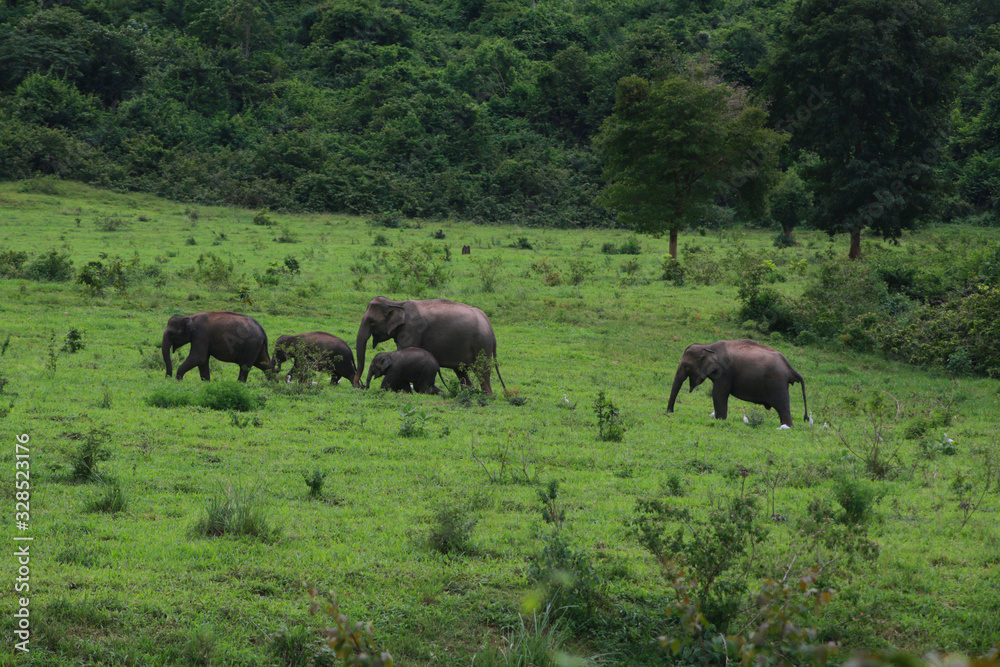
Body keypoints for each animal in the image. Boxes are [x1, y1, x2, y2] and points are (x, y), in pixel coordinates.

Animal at [354, 296, 508, 394]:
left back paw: (487, 396)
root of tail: (489, 326)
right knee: (461, 371)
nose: (359, 386)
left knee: (482, 371)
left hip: (482, 345)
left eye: (371, 321)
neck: (397, 303)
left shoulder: (411, 330)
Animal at [668, 340, 808, 428]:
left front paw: (720, 420)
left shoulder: (725, 373)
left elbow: (718, 393)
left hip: (777, 383)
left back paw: (788, 427)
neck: (708, 346)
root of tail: (789, 368)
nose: (670, 412)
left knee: (782, 406)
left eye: (686, 366)